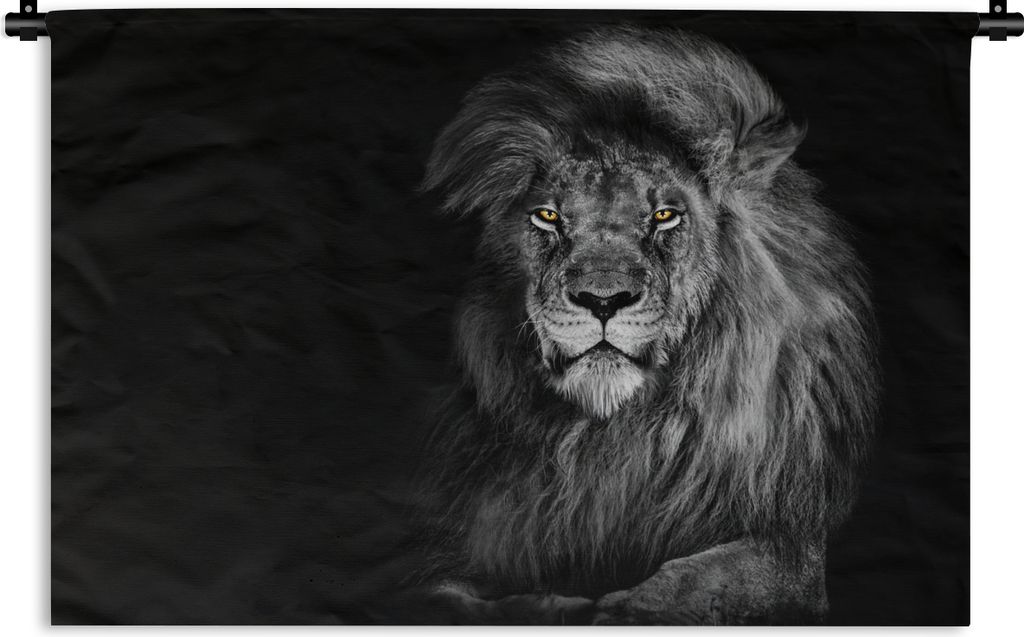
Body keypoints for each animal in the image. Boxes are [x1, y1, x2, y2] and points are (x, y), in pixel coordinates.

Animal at [415, 26, 877, 625]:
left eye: (664, 215)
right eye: (548, 216)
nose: (602, 299)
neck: (614, 435)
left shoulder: (793, 545)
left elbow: (704, 579)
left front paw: (618, 609)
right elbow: (448, 592)